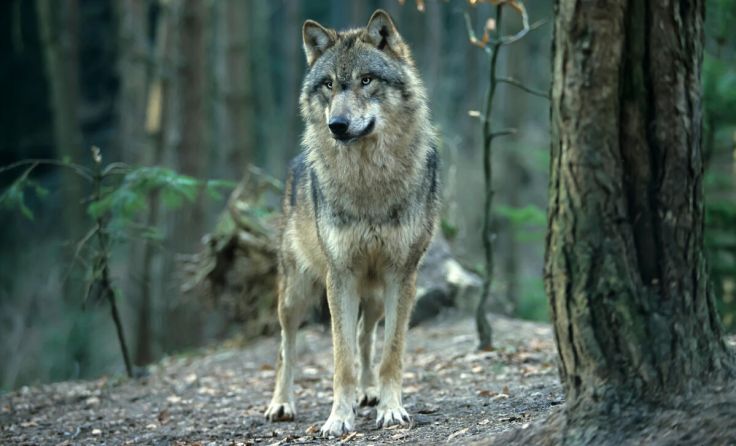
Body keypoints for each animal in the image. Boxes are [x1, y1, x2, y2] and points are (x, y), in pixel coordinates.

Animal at [263, 9, 439, 437]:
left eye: (366, 80)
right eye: (328, 84)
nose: (338, 125)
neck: (368, 181)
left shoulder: (401, 275)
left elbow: (390, 353)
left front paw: (390, 408)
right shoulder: (340, 276)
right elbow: (340, 360)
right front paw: (338, 418)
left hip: (373, 292)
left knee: (365, 335)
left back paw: (369, 391)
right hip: (295, 293)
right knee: (285, 346)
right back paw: (281, 403)